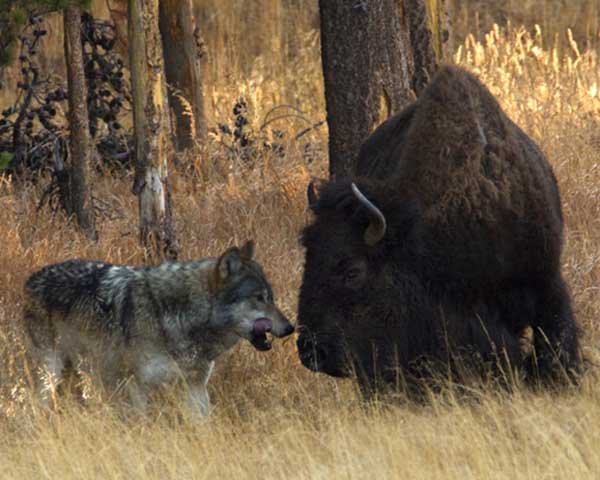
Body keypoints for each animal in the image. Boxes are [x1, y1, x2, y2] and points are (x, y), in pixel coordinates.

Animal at [24, 242, 296, 414]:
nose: (290, 327)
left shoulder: (196, 386)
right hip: (51, 371)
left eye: (271, 297)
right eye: (259, 298)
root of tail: (32, 278)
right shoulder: (136, 387)